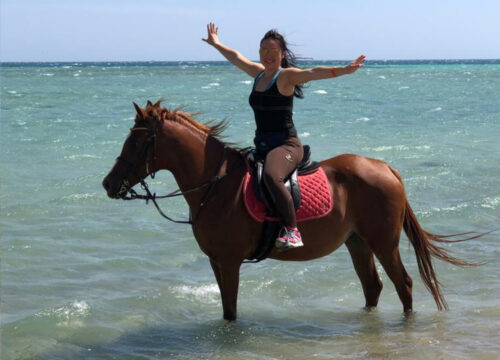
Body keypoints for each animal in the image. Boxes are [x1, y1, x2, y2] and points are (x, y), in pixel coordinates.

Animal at [102, 100, 480, 320]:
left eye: (136, 141)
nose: (109, 184)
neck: (216, 185)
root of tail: (386, 167)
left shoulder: (229, 261)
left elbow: (232, 312)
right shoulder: (215, 261)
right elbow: (225, 309)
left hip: (383, 243)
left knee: (404, 285)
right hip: (357, 242)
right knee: (372, 286)